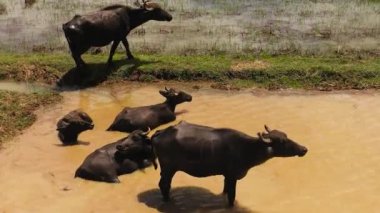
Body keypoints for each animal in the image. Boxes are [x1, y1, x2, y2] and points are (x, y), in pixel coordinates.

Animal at [150, 121, 308, 206]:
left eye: (286, 136)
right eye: (282, 141)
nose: (304, 149)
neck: (246, 148)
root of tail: (161, 132)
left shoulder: (226, 176)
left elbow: (225, 190)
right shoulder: (232, 176)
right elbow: (232, 196)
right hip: (168, 168)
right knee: (164, 184)